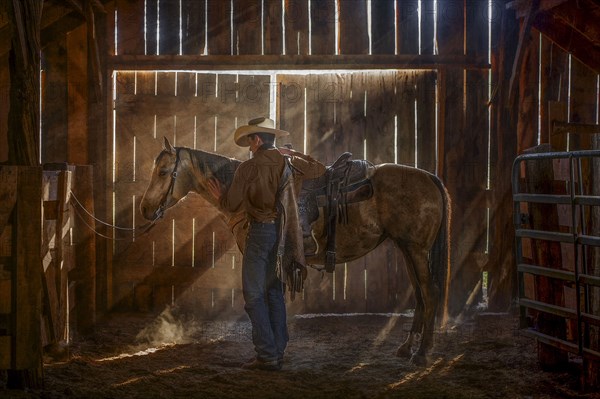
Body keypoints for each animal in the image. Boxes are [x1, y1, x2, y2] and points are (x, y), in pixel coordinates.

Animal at [139, 137, 450, 366]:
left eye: (164, 172)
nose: (144, 209)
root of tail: (430, 177)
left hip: (416, 250)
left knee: (431, 292)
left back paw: (422, 353)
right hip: (407, 248)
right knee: (420, 295)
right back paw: (406, 348)